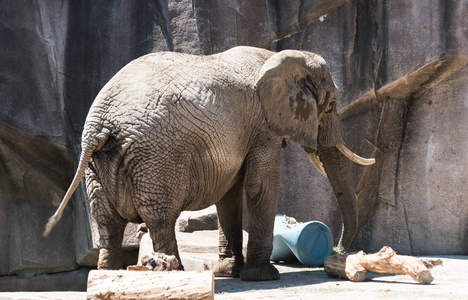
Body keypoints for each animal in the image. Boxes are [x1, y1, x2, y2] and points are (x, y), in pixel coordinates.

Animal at [44, 46, 372, 282]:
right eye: (331, 104)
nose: (339, 252)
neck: (278, 56)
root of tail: (100, 124)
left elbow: (230, 195)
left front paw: (230, 272)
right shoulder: (262, 127)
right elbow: (260, 187)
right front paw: (263, 276)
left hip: (99, 165)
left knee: (107, 221)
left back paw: (109, 276)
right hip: (157, 158)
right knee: (160, 218)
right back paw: (172, 274)